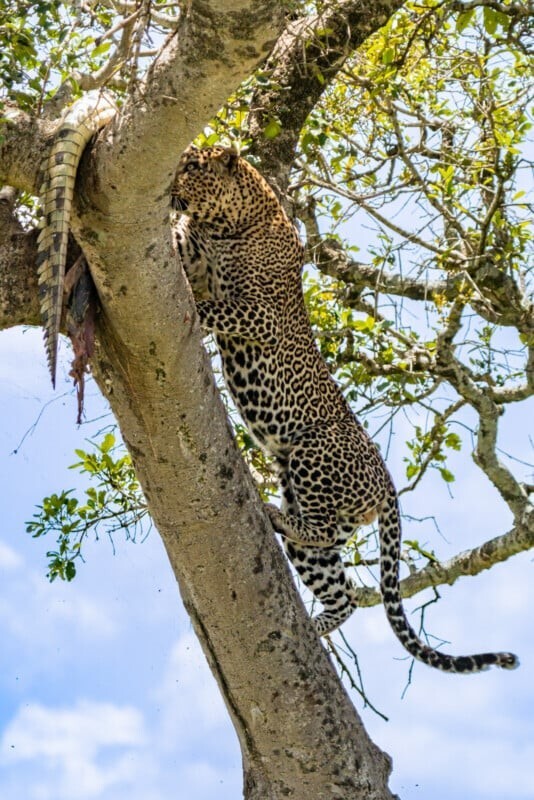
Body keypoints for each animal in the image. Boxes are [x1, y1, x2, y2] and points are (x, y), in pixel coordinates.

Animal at [172, 145, 520, 676]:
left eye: (193, 165)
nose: (172, 174)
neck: (232, 221)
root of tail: (389, 482)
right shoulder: (199, 251)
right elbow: (185, 248)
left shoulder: (260, 313)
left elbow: (215, 307)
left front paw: (195, 297)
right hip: (317, 515)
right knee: (344, 590)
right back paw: (314, 627)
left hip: (311, 450)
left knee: (322, 534)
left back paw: (274, 516)